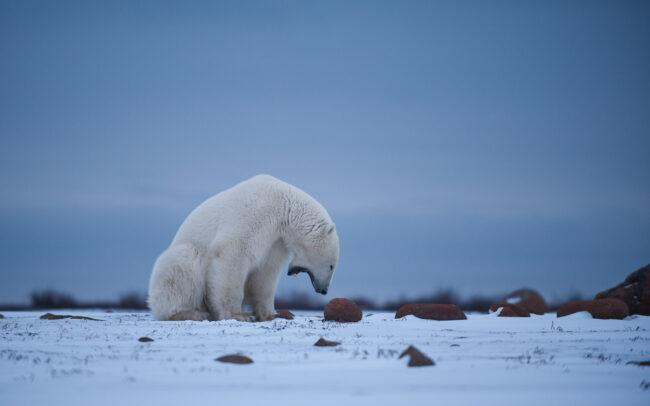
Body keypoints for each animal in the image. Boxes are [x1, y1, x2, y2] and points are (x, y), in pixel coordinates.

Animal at [147, 174, 339, 321]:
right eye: (331, 266)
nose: (324, 290)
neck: (283, 206)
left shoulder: (275, 241)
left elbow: (265, 273)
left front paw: (272, 314)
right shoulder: (255, 213)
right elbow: (232, 253)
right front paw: (238, 315)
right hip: (179, 260)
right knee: (182, 266)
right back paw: (191, 313)